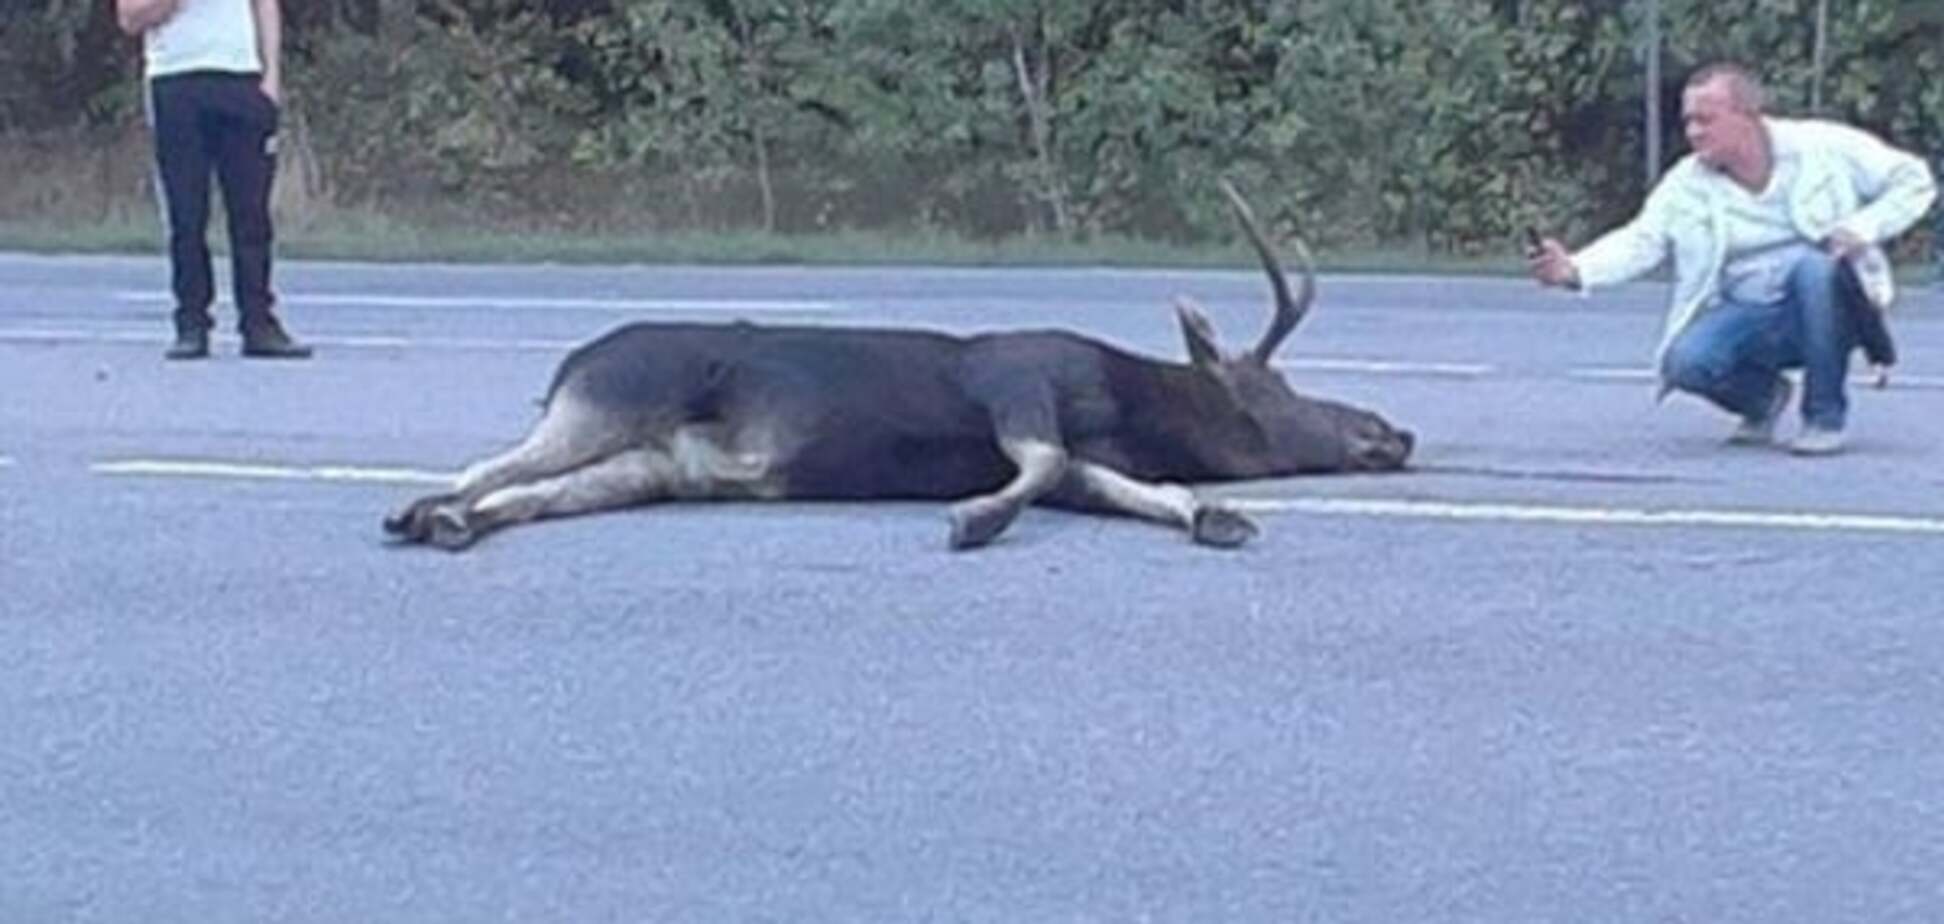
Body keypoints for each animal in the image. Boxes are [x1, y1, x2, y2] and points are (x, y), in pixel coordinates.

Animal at [382, 182, 1415, 548]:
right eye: (1268, 389)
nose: (1392, 430)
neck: (1127, 408)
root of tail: (566, 361)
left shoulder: (1087, 461)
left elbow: (1136, 492)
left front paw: (1213, 514)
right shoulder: (1016, 383)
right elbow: (1039, 464)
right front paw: (974, 519)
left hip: (649, 467)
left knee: (531, 494)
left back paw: (450, 523)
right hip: (609, 401)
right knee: (486, 467)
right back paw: (421, 512)